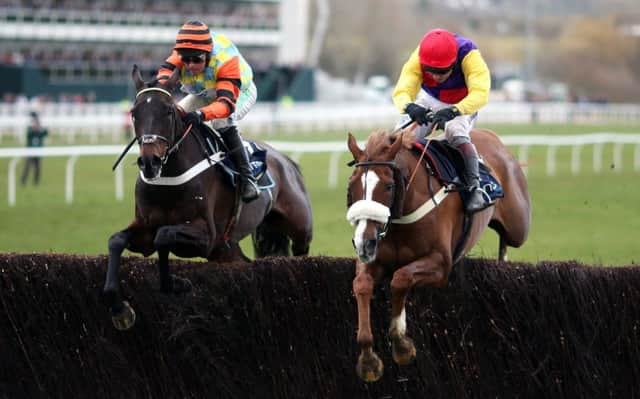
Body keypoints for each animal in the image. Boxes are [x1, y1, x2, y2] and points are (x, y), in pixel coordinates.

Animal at [104, 66, 314, 332]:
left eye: (168, 111)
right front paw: (120, 309)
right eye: (134, 112)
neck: (169, 179)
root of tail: (286, 160)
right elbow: (117, 240)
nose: (150, 162)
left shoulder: (207, 236)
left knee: (301, 252)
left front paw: (176, 283)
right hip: (227, 248)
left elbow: (164, 235)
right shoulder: (145, 228)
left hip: (299, 229)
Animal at [344, 126, 528, 382]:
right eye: (352, 186)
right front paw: (368, 360)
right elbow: (361, 284)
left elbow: (400, 278)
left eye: (389, 186)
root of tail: (491, 135)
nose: (364, 242)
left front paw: (402, 345)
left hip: (518, 226)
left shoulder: (441, 264)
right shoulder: (375, 258)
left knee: (508, 238)